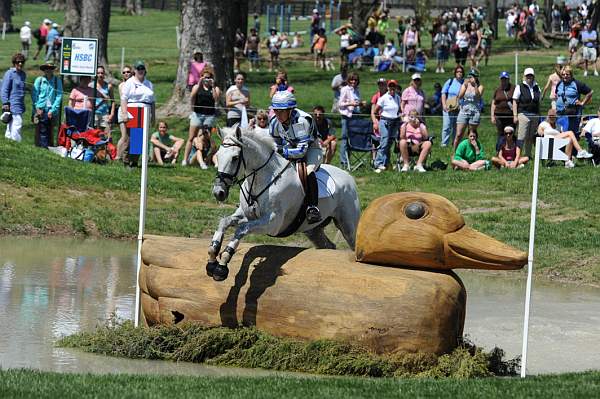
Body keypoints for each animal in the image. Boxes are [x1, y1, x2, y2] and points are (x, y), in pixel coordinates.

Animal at [209, 126, 358, 282]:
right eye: (217, 156)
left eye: (235, 158)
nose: (218, 192)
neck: (262, 179)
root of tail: (348, 176)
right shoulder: (245, 215)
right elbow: (224, 222)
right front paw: (212, 258)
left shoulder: (272, 223)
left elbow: (241, 229)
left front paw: (222, 265)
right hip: (313, 230)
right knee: (328, 245)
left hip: (348, 226)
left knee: (353, 243)